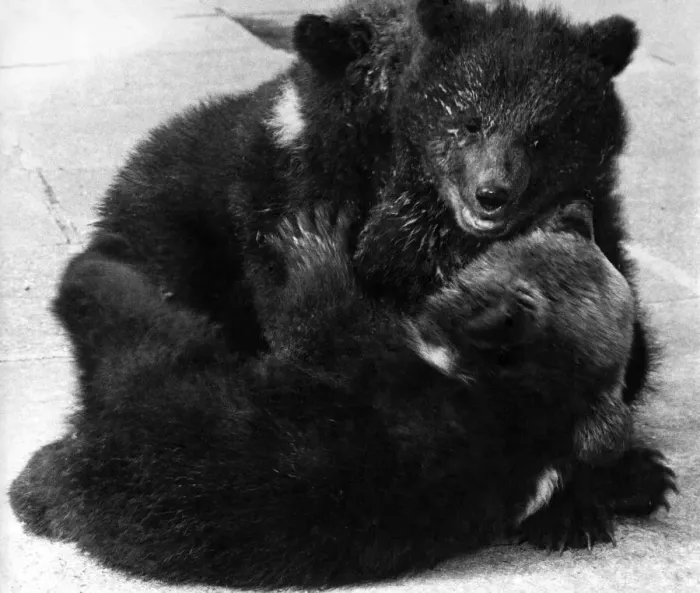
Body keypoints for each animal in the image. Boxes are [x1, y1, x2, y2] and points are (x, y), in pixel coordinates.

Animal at [10, 203, 675, 589]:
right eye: (581, 242)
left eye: (536, 247)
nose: (577, 210)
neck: (512, 403)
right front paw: (640, 474)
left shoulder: (359, 349)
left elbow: (315, 313)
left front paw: (312, 245)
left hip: (162, 369)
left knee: (121, 309)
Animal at [47, 0, 671, 553]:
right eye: (463, 121)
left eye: (546, 134)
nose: (491, 193)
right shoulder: (288, 201)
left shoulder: (591, 221)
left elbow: (621, 351)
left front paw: (607, 489)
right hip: (171, 236)